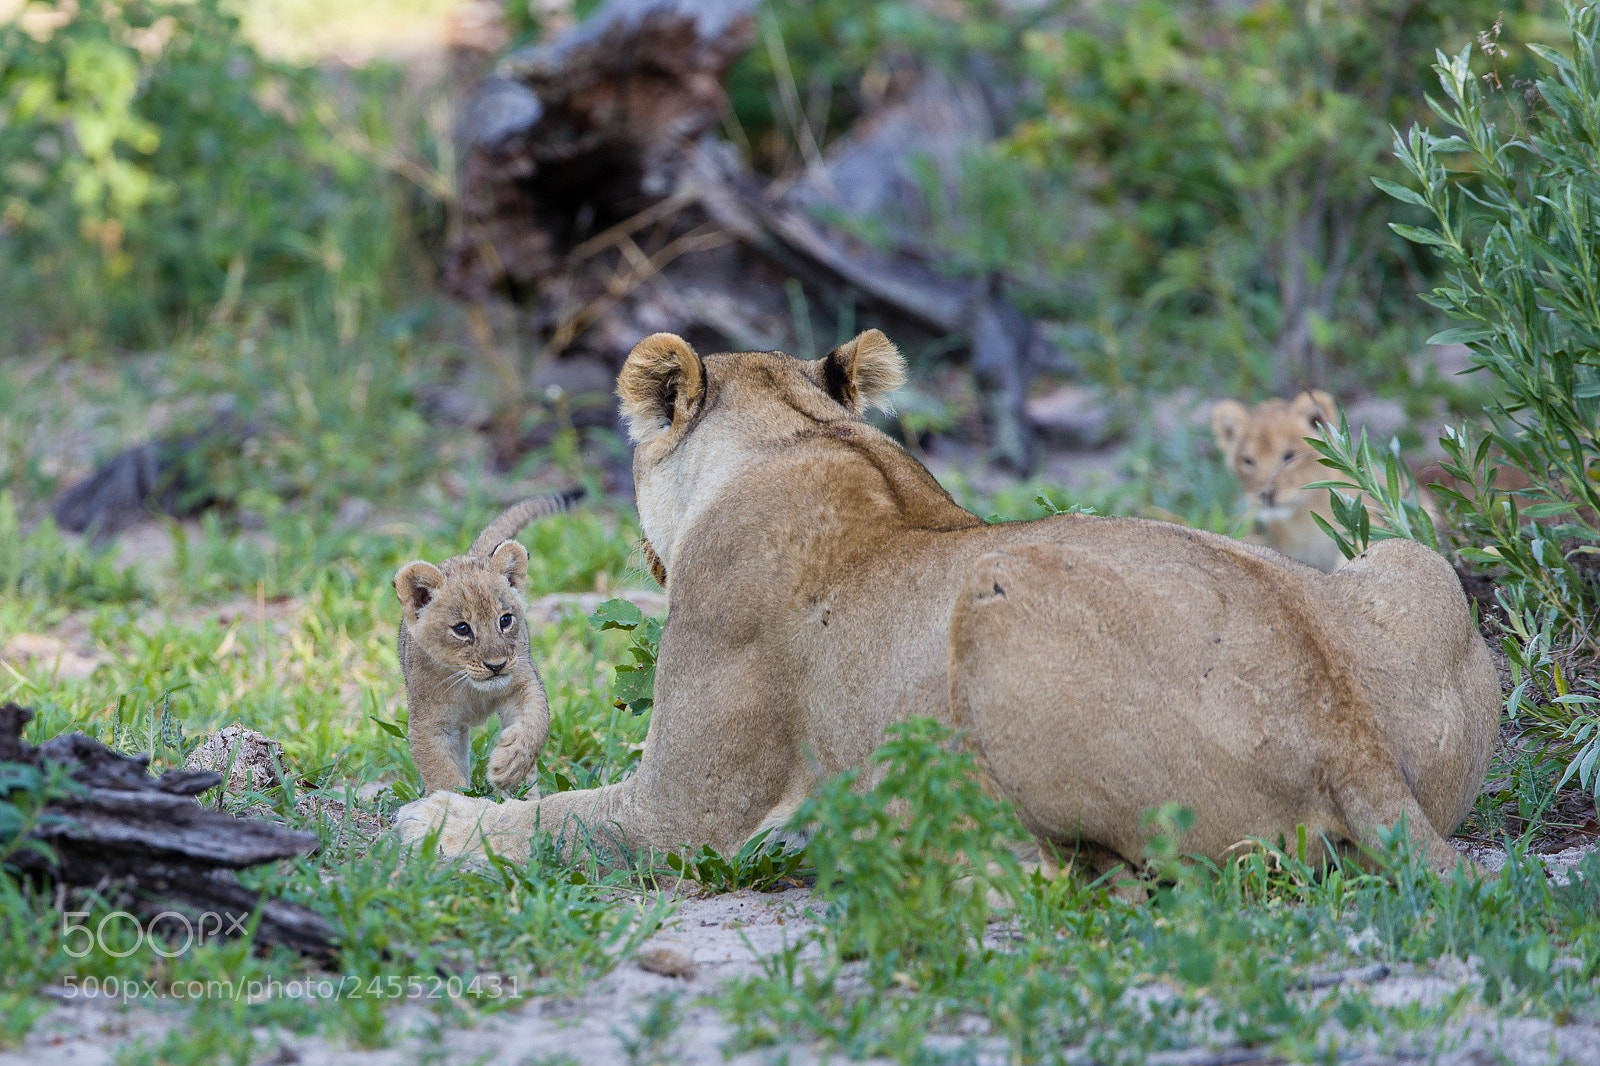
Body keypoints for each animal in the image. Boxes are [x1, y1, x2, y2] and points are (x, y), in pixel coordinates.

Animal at [394, 488, 582, 794]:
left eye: (505, 620)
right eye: (462, 629)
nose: (497, 665)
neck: (472, 688)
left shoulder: (523, 681)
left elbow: (536, 722)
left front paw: (509, 766)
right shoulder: (429, 721)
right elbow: (440, 770)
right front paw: (453, 801)